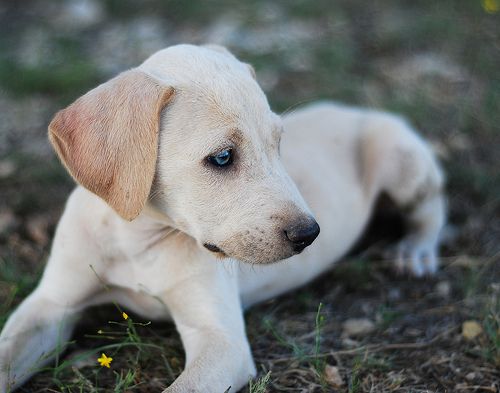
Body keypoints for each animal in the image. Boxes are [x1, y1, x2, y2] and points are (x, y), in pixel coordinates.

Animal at [0, 43, 446, 392]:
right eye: (222, 157)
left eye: (278, 144)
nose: (310, 234)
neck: (138, 240)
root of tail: (357, 108)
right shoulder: (51, 305)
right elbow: (7, 356)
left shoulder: (221, 341)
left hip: (401, 160)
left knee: (432, 205)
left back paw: (416, 250)